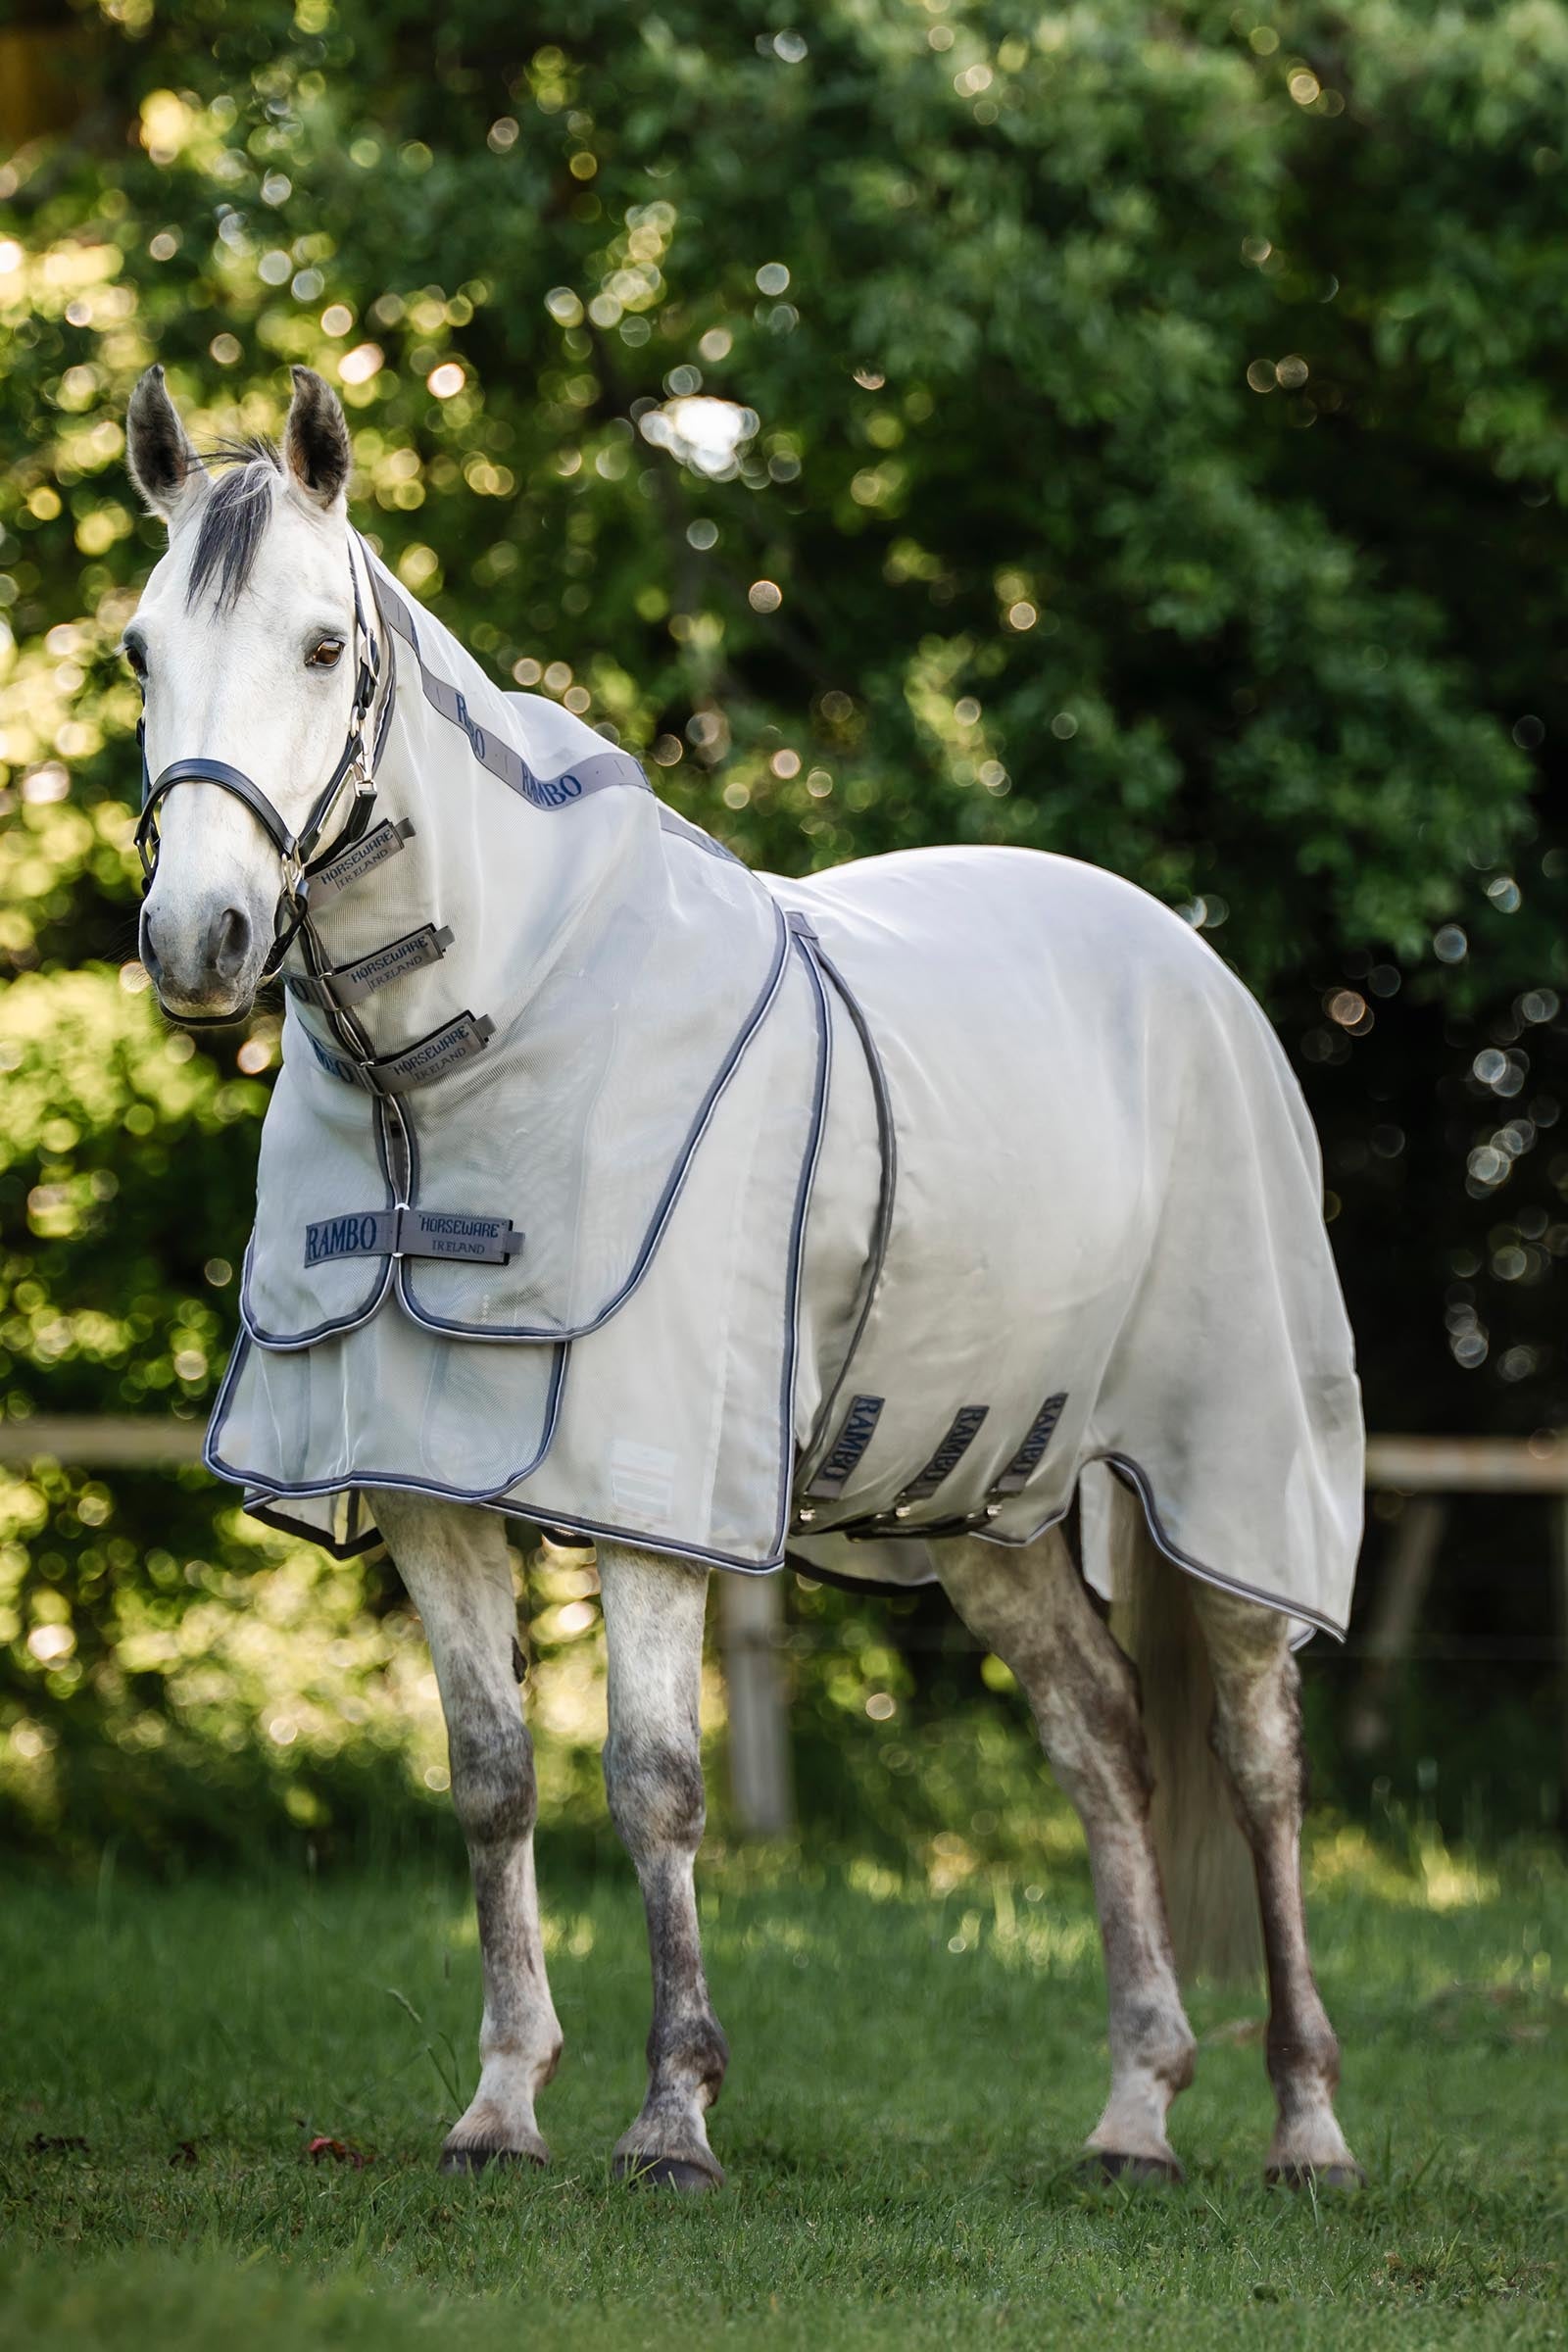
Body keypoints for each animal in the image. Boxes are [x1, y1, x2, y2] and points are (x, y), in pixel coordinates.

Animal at [120, 361, 1366, 2192]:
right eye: (143, 647)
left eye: (324, 647)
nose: (196, 940)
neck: (474, 1041)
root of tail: (1189, 963)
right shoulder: (419, 1482)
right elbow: (491, 1777)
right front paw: (500, 2106)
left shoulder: (651, 1483)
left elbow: (653, 1782)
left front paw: (673, 2115)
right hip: (982, 1500)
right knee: (1103, 1741)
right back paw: (1135, 2114)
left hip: (1238, 1466)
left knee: (1261, 1765)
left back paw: (1308, 2126)